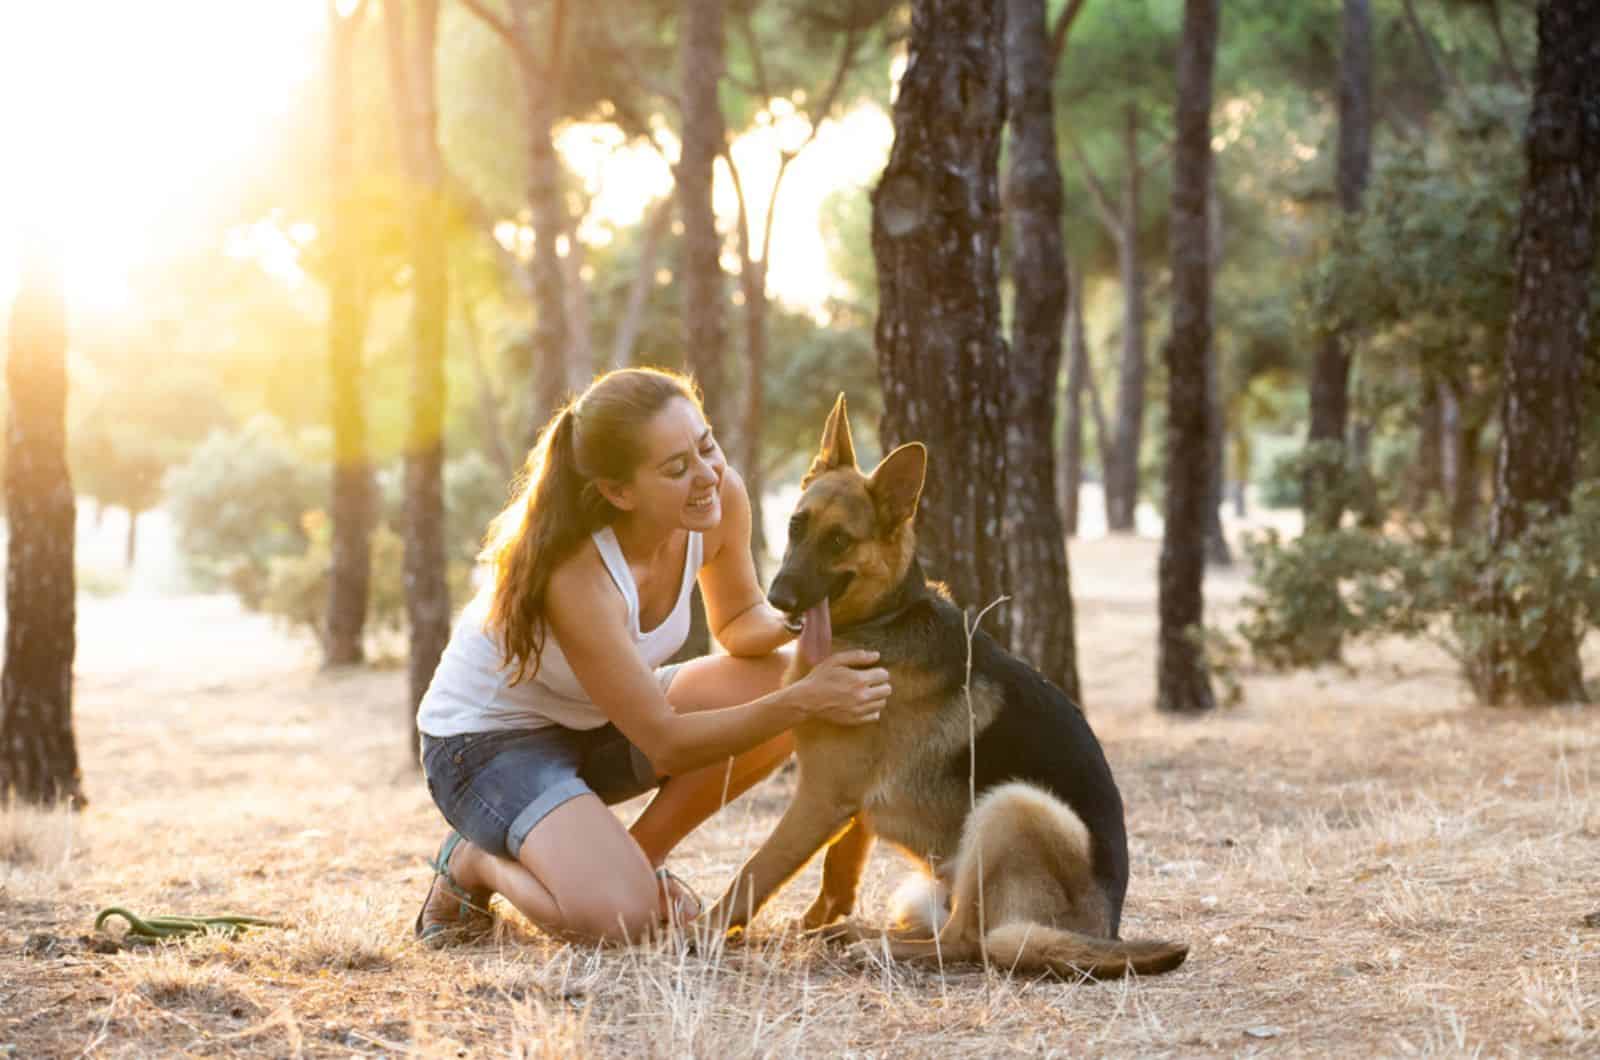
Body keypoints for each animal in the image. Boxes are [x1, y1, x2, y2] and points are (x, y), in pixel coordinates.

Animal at [704, 403, 1190, 986]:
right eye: (797, 526)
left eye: (840, 541)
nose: (778, 599)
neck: (884, 618)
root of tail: (1104, 931)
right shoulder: (843, 802)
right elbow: (837, 870)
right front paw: (816, 922)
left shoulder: (820, 797)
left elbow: (755, 871)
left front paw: (694, 931)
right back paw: (858, 933)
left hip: (1014, 805)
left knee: (966, 942)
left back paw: (875, 946)